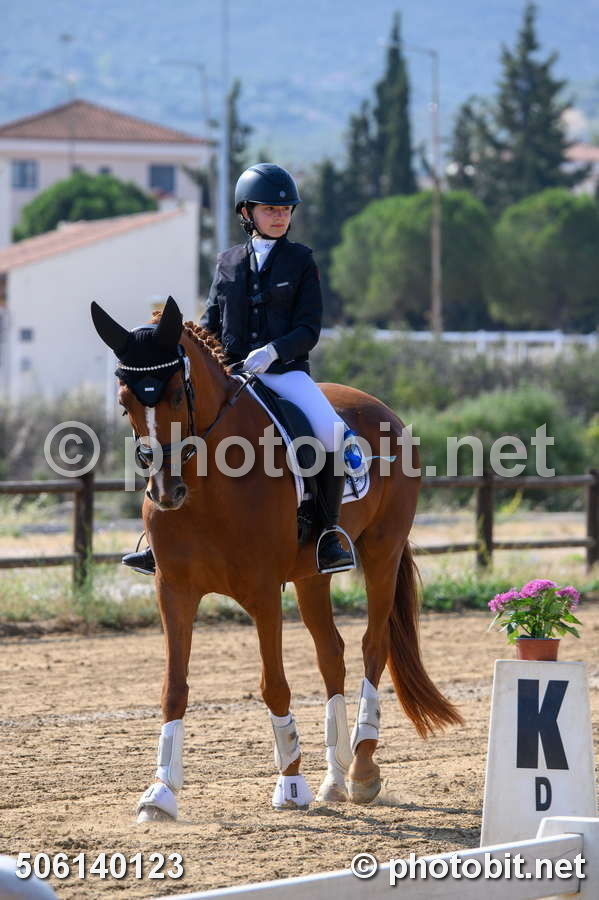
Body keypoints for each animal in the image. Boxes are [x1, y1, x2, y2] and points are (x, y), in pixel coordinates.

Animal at [91, 296, 462, 821]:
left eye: (177, 397)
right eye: (126, 403)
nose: (166, 492)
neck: (208, 486)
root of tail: (381, 408)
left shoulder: (263, 592)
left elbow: (275, 685)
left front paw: (290, 784)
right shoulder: (174, 590)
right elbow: (174, 688)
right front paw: (159, 794)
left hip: (382, 553)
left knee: (373, 647)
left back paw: (360, 772)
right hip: (312, 576)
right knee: (332, 655)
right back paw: (333, 779)